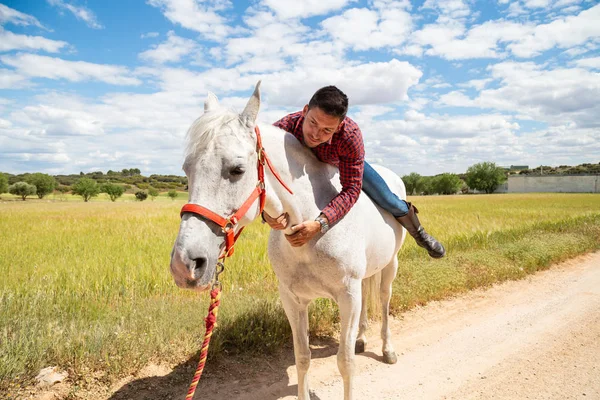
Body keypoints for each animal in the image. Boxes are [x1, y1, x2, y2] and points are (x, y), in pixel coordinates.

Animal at [171, 82, 406, 400]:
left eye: (237, 170)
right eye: (187, 169)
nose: (184, 265)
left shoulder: (348, 296)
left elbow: (345, 363)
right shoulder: (293, 299)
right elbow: (302, 357)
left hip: (390, 265)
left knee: (383, 299)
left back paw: (387, 348)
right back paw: (362, 338)